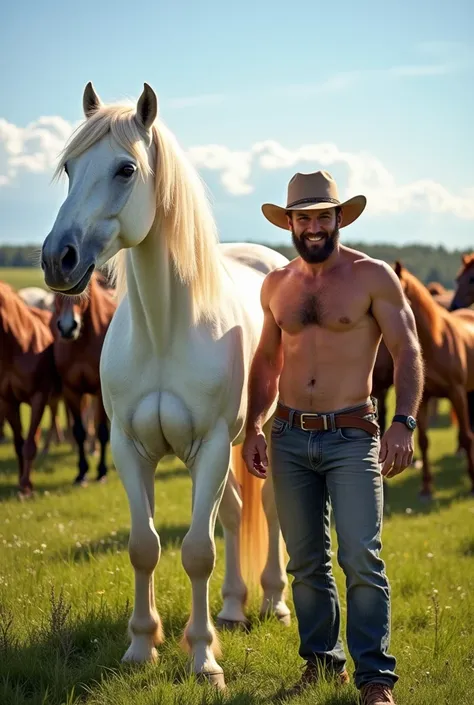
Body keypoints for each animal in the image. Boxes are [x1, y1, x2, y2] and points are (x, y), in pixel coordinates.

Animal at [0, 280, 60, 496]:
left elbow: (29, 445)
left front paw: (26, 486)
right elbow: (19, 443)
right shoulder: (8, 401)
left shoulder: (38, 397)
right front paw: (21, 480)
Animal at [52, 270, 116, 484]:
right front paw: (81, 472)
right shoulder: (71, 390)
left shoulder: (99, 392)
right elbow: (79, 431)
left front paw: (102, 471)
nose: (67, 327)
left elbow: (102, 431)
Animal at [394, 262, 474, 498]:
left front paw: (472, 483)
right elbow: (423, 440)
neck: (435, 342)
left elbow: (466, 436)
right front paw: (426, 488)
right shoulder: (424, 399)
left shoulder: (457, 392)